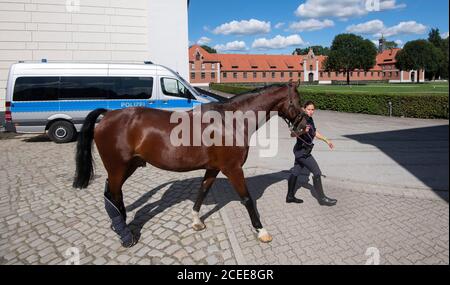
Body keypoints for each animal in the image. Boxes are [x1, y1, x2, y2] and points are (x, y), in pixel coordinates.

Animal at [74, 79, 306, 246]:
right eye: (298, 100)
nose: (304, 126)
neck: (231, 121)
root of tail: (107, 115)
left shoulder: (213, 168)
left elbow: (202, 192)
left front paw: (196, 221)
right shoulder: (233, 169)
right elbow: (247, 199)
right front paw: (262, 231)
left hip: (127, 167)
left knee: (113, 193)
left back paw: (121, 227)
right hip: (118, 168)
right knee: (113, 194)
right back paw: (125, 235)